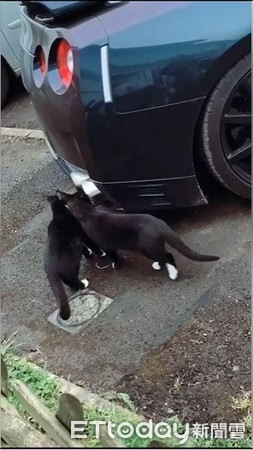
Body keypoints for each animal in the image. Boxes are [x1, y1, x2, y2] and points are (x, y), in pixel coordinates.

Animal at [57, 188, 219, 280]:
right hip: (152, 246)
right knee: (163, 255)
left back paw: (172, 274)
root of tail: (158, 223)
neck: (87, 212)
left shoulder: (104, 243)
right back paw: (159, 266)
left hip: (146, 247)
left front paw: (117, 265)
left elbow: (112, 254)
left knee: (168, 255)